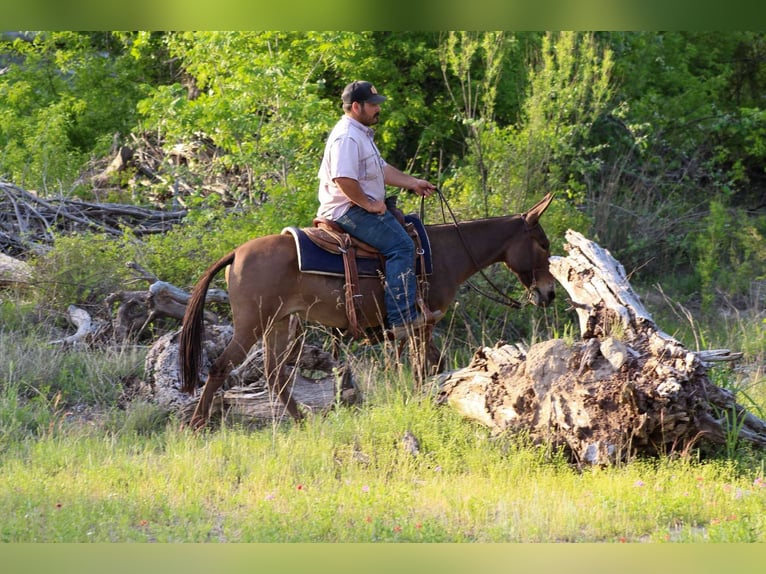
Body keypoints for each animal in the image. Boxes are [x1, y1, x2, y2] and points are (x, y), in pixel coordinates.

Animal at [179, 192, 556, 428]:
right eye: (542, 243)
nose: (549, 293)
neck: (447, 252)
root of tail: (236, 253)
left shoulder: (418, 328)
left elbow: (433, 366)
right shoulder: (423, 323)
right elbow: (426, 368)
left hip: (279, 323)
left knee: (274, 374)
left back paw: (300, 422)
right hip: (251, 324)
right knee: (220, 367)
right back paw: (197, 424)